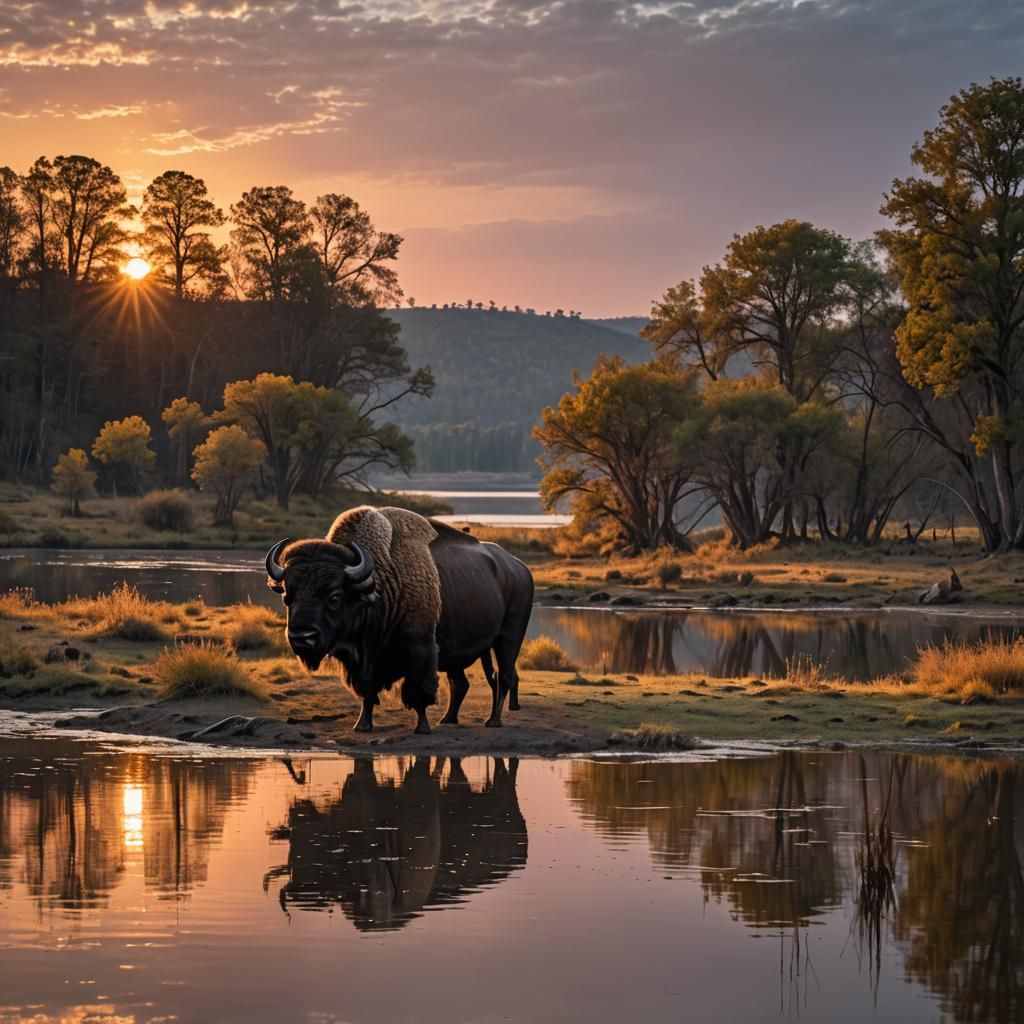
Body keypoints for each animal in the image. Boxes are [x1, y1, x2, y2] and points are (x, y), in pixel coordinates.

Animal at [265, 505, 534, 734]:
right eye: (287, 596)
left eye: (334, 596)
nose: (302, 637)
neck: (380, 581)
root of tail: (520, 568)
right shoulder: (366, 661)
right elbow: (367, 693)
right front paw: (362, 725)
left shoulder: (420, 648)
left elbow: (418, 692)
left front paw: (422, 728)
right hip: (461, 653)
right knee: (461, 683)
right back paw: (448, 719)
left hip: (507, 639)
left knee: (504, 676)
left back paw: (493, 721)